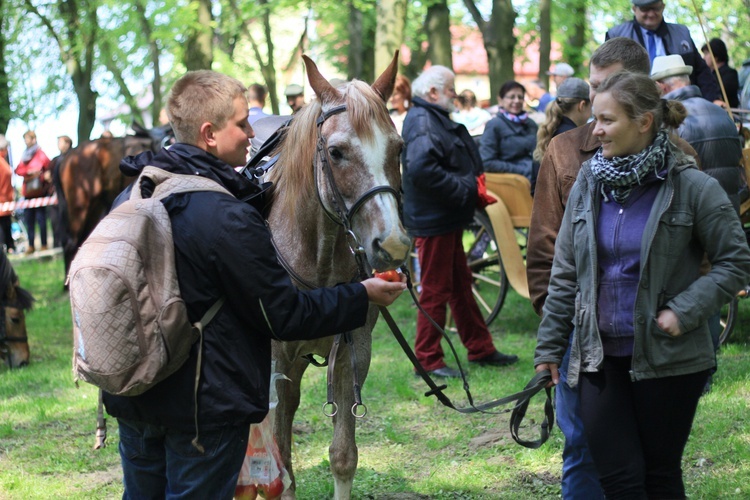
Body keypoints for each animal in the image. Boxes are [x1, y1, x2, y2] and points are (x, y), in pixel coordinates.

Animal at [268, 55, 412, 500]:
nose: (393, 243)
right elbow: (278, 463)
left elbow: (343, 455)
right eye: (336, 152)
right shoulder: (274, 361)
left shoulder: (353, 351)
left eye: (399, 148)